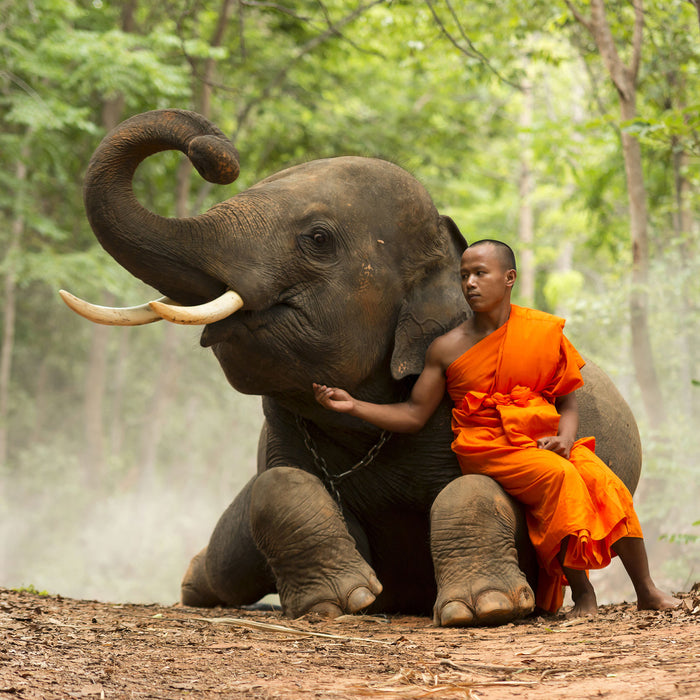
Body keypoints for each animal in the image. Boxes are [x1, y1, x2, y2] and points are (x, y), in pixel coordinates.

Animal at [63, 110, 644, 628]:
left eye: (318, 238)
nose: (212, 150)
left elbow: (487, 489)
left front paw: (487, 608)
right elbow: (278, 484)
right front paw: (341, 603)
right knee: (225, 566)